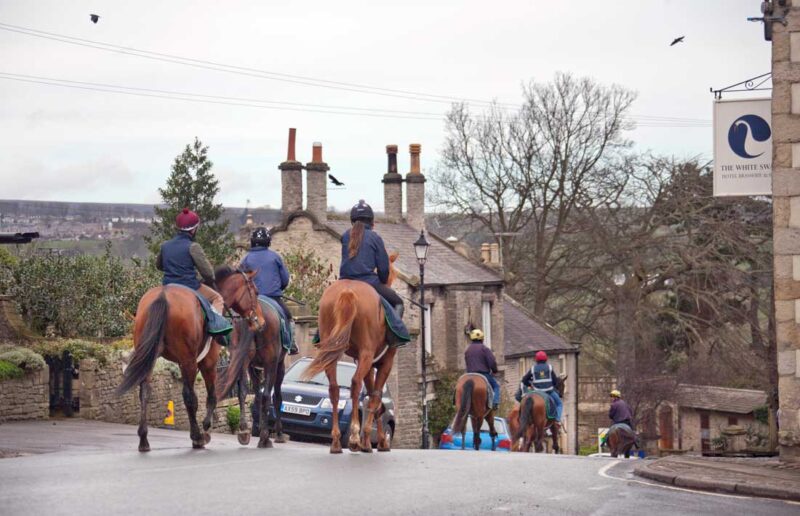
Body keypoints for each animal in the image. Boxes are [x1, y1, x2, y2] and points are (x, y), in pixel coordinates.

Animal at [117, 266, 266, 452]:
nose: (261, 322)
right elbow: (211, 396)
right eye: (255, 291)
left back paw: (144, 439)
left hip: (151, 356)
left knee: (145, 391)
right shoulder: (207, 362)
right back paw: (196, 437)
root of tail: (163, 295)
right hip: (189, 360)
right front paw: (207, 429)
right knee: (188, 396)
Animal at [219, 298, 288, 448]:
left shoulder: (252, 366)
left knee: (242, 392)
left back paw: (244, 431)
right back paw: (265, 438)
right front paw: (278, 434)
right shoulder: (278, 365)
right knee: (267, 395)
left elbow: (256, 395)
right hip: (271, 364)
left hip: (242, 358)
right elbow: (276, 397)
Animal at [302, 253, 398, 452]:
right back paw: (353, 437)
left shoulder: (368, 364)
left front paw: (369, 439)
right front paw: (375, 440)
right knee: (354, 384)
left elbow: (372, 395)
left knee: (334, 388)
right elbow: (375, 396)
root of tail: (347, 291)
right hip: (366, 353)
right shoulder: (384, 362)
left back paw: (336, 441)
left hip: (333, 351)